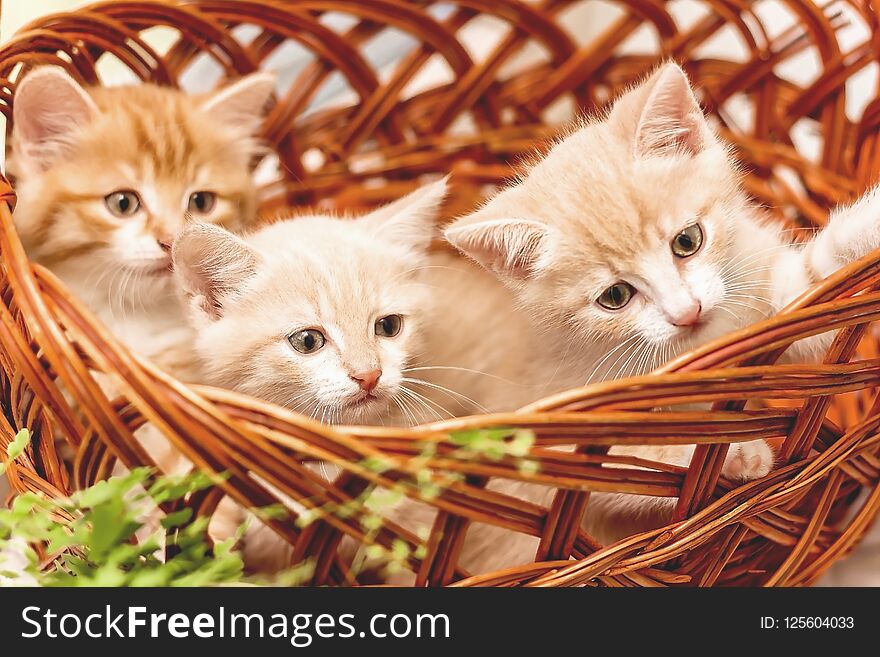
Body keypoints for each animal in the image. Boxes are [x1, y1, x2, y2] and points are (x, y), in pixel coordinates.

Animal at [446, 61, 880, 544]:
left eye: (687, 241)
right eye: (615, 296)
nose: (685, 311)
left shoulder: (782, 304)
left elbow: (820, 282)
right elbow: (624, 459)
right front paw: (731, 453)